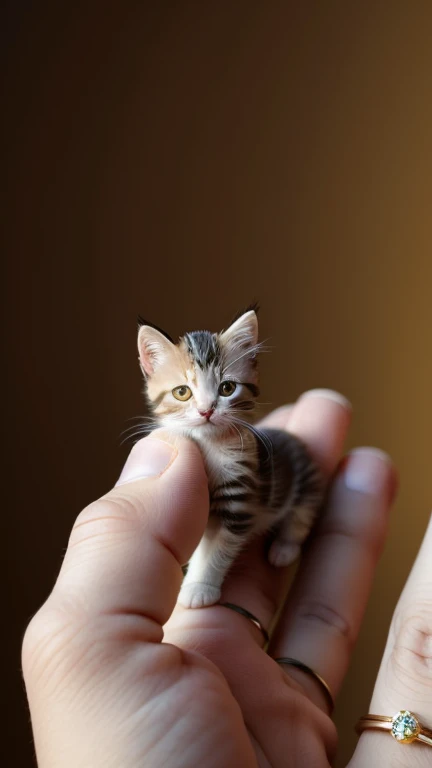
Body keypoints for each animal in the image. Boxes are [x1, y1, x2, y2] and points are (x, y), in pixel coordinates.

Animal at [137, 308, 322, 608]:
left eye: (227, 388)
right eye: (181, 392)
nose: (206, 411)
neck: (209, 445)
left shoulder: (238, 494)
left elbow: (218, 549)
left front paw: (199, 588)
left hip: (308, 486)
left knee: (301, 517)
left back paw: (283, 549)